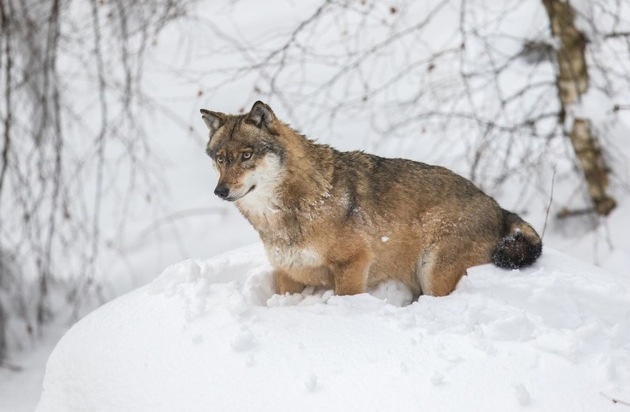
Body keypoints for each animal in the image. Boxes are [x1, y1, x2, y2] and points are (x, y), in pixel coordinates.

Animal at [201, 101, 544, 298]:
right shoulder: (288, 274)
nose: (220, 191)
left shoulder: (353, 263)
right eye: (221, 159)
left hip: (433, 273)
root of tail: (498, 206)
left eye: (247, 156)